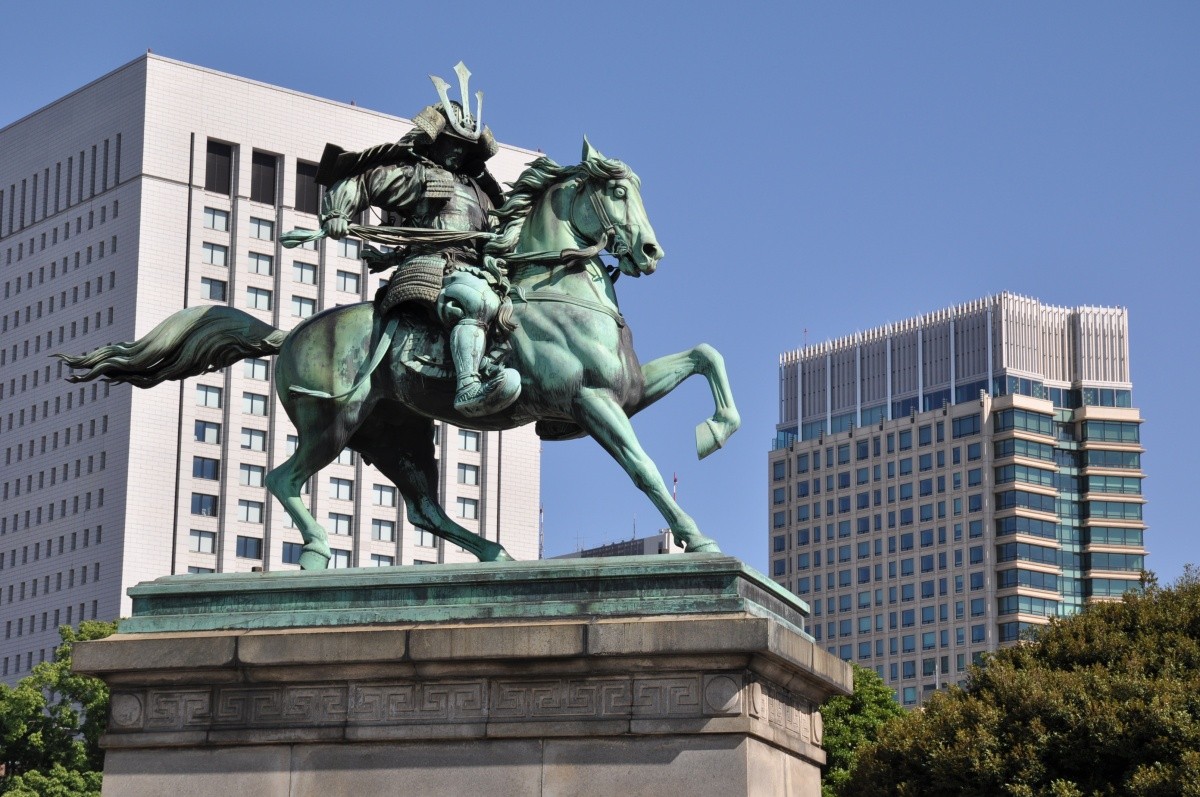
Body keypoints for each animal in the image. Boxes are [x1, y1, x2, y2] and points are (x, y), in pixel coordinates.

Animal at [65, 139, 744, 568]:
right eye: (619, 192)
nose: (650, 253)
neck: (556, 287)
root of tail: (289, 336)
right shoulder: (590, 402)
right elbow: (644, 469)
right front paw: (698, 540)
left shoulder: (627, 391)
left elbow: (707, 355)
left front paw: (716, 430)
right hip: (332, 423)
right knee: (283, 479)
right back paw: (318, 551)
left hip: (396, 433)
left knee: (423, 510)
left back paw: (493, 554)